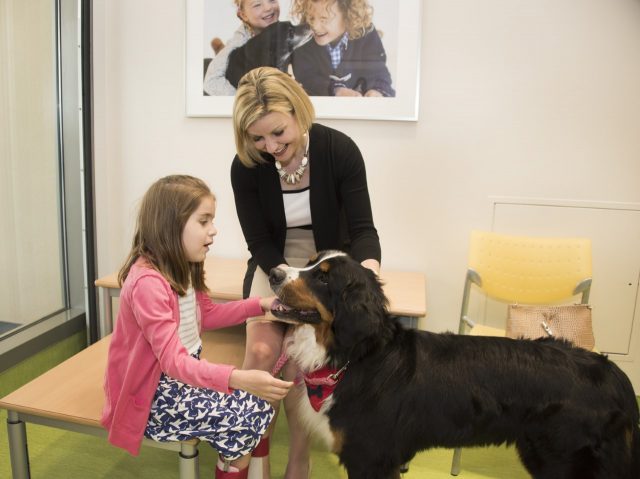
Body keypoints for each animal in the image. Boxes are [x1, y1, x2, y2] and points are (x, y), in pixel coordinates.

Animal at [268, 251, 640, 479]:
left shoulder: (370, 457)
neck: (354, 357)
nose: (273, 272)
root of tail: (613, 372)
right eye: (311, 262)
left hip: (565, 460)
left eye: (323, 279)